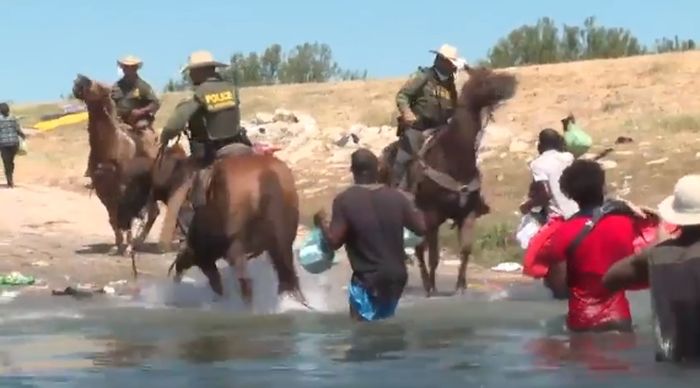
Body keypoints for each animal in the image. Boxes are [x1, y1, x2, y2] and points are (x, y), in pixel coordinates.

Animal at [167, 152, 308, 310]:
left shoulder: (212, 257)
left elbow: (219, 283)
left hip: (238, 248)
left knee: (247, 285)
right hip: (283, 242)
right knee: (289, 277)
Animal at [380, 67, 516, 298]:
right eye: (484, 79)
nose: (512, 81)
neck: (454, 157)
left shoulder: (467, 214)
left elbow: (465, 250)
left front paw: (460, 285)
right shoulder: (432, 215)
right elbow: (434, 256)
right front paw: (433, 287)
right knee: (418, 250)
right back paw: (426, 284)